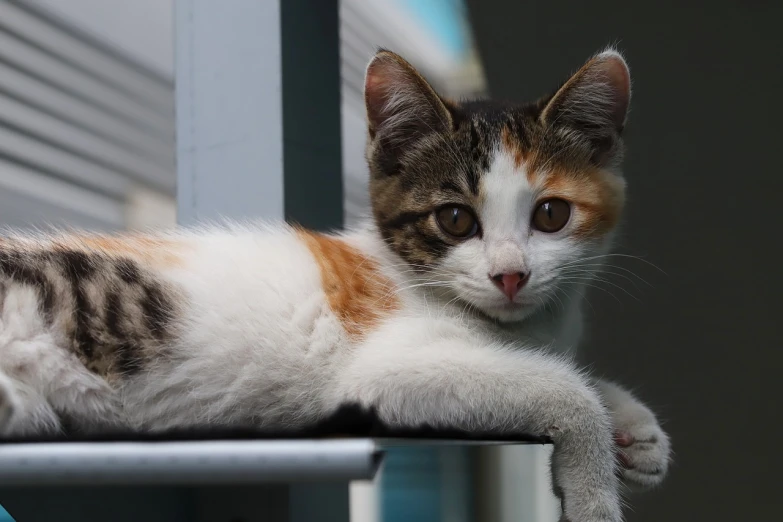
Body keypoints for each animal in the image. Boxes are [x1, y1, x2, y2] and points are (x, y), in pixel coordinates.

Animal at [0, 49, 672, 520]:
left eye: (552, 214)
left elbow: (554, 365)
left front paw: (637, 432)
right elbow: (558, 385)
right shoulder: (383, 372)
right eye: (455, 219)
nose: (510, 275)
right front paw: (595, 492)